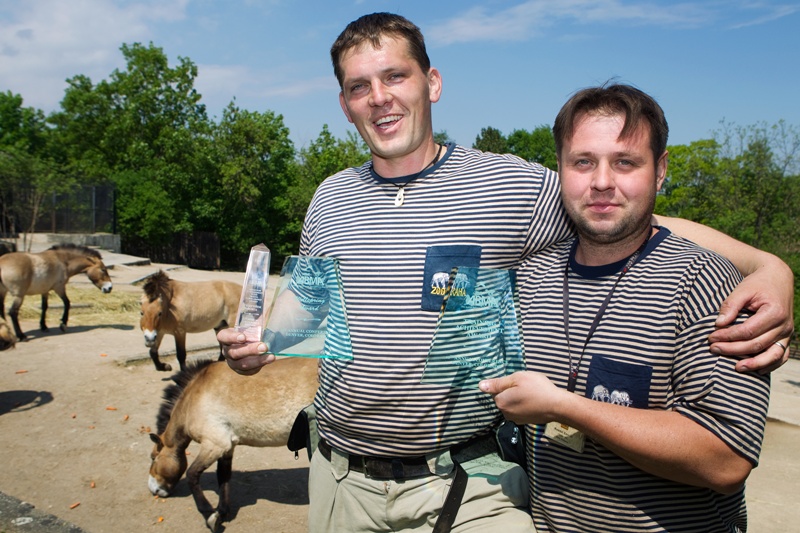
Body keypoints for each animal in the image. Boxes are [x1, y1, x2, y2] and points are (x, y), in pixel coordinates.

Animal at [148, 356, 318, 528]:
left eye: (153, 458)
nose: (153, 489)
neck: (193, 398)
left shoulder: (214, 445)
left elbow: (192, 474)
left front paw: (209, 514)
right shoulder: (227, 447)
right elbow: (223, 476)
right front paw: (222, 512)